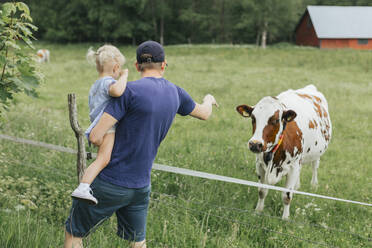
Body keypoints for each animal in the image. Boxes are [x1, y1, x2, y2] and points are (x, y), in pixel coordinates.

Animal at [235, 85, 332, 219]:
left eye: (275, 120)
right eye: (253, 118)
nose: (255, 144)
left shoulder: (293, 168)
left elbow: (287, 196)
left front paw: (285, 218)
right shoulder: (259, 165)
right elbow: (261, 191)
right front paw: (258, 211)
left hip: (317, 153)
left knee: (315, 167)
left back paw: (314, 185)